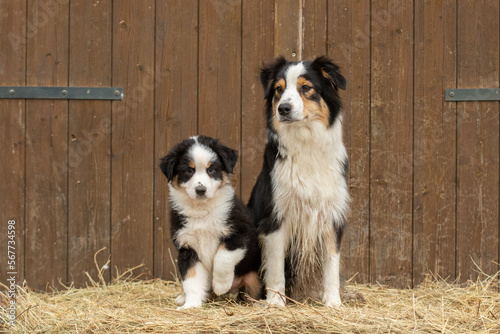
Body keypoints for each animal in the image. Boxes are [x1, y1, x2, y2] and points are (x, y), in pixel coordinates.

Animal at [160, 135, 262, 308]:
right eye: (189, 170)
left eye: (211, 170)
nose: (201, 190)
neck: (201, 209)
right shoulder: (188, 248)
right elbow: (191, 280)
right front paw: (191, 305)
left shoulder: (240, 232)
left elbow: (222, 257)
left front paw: (220, 285)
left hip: (254, 276)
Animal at [248, 55, 350, 308]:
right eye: (278, 89)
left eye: (306, 88)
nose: (283, 108)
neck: (306, 144)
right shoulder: (275, 217)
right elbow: (275, 266)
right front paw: (275, 302)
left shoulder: (332, 216)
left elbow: (332, 263)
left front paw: (333, 302)